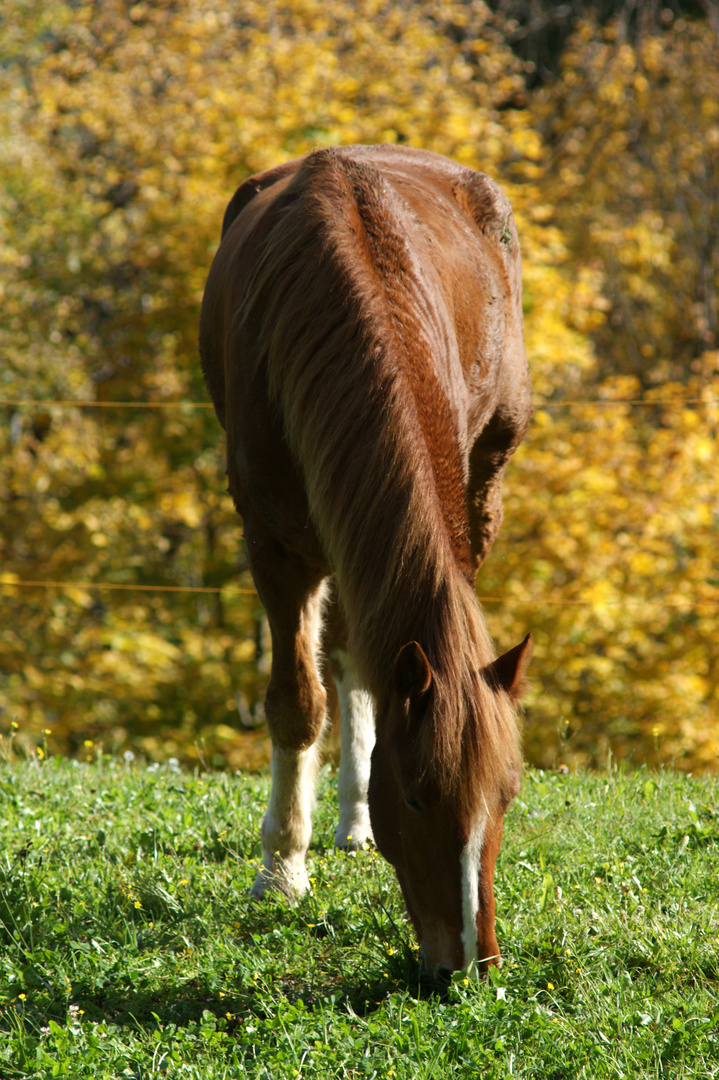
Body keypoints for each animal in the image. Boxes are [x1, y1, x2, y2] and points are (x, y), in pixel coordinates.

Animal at [198, 143, 528, 980]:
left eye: (506, 797)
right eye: (416, 799)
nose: (470, 966)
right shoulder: (275, 546)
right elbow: (295, 701)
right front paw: (281, 868)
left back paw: (348, 819)